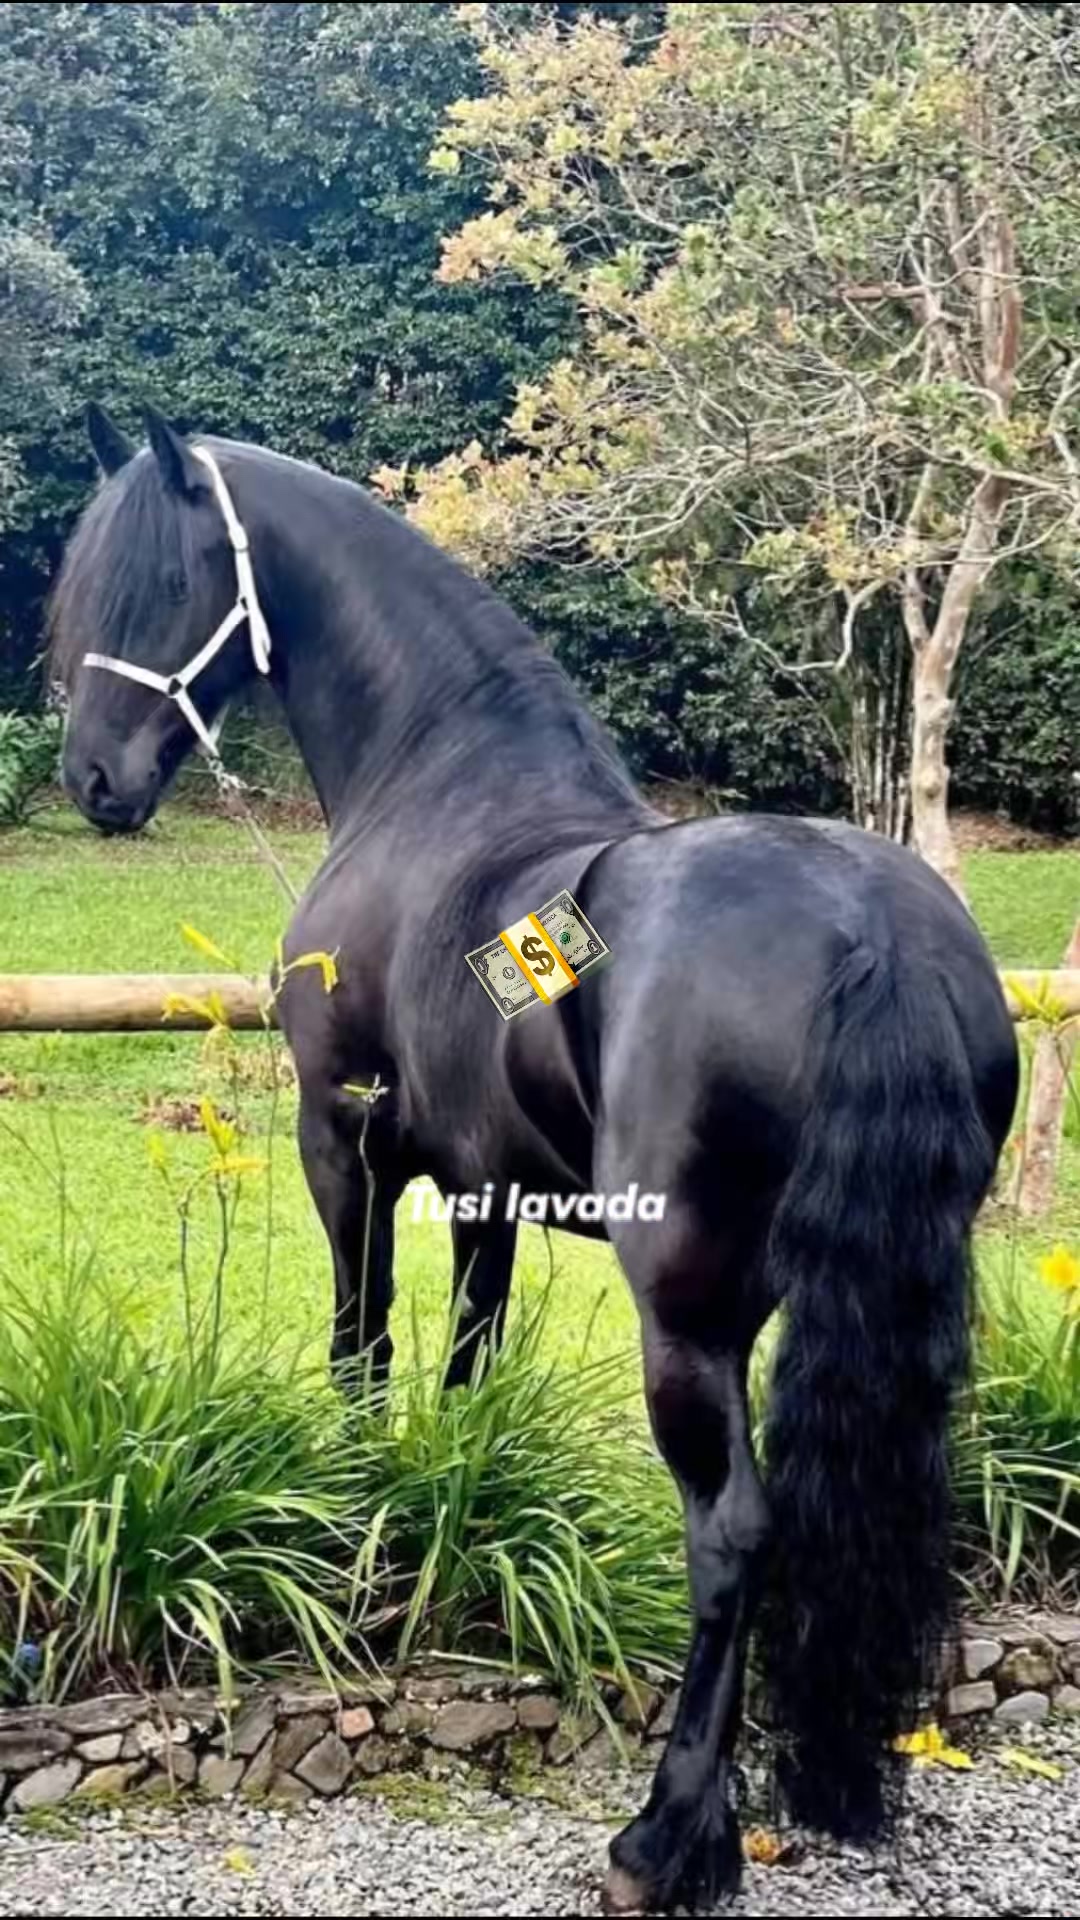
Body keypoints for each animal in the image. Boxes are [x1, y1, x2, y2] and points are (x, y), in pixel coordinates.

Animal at [51, 403, 1018, 1914]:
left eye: (160, 579)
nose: (92, 778)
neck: (442, 785)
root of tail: (878, 935)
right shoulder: (485, 1188)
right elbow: (469, 1361)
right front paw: (453, 1526)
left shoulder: (345, 1145)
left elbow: (362, 1347)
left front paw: (358, 1540)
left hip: (685, 1313)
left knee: (733, 1533)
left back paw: (666, 1840)